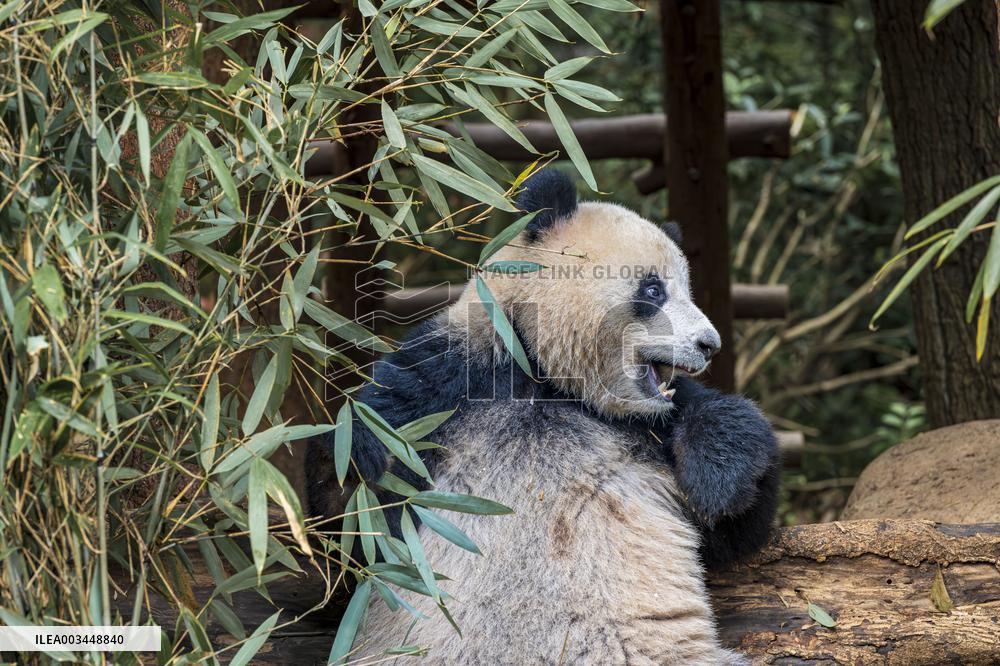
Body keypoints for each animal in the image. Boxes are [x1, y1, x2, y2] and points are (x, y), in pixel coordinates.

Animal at [307, 170, 780, 665]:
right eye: (654, 289)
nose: (710, 344)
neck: (547, 376)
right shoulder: (451, 375)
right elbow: (348, 528)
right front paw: (362, 456)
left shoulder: (649, 427)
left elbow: (733, 523)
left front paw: (717, 480)